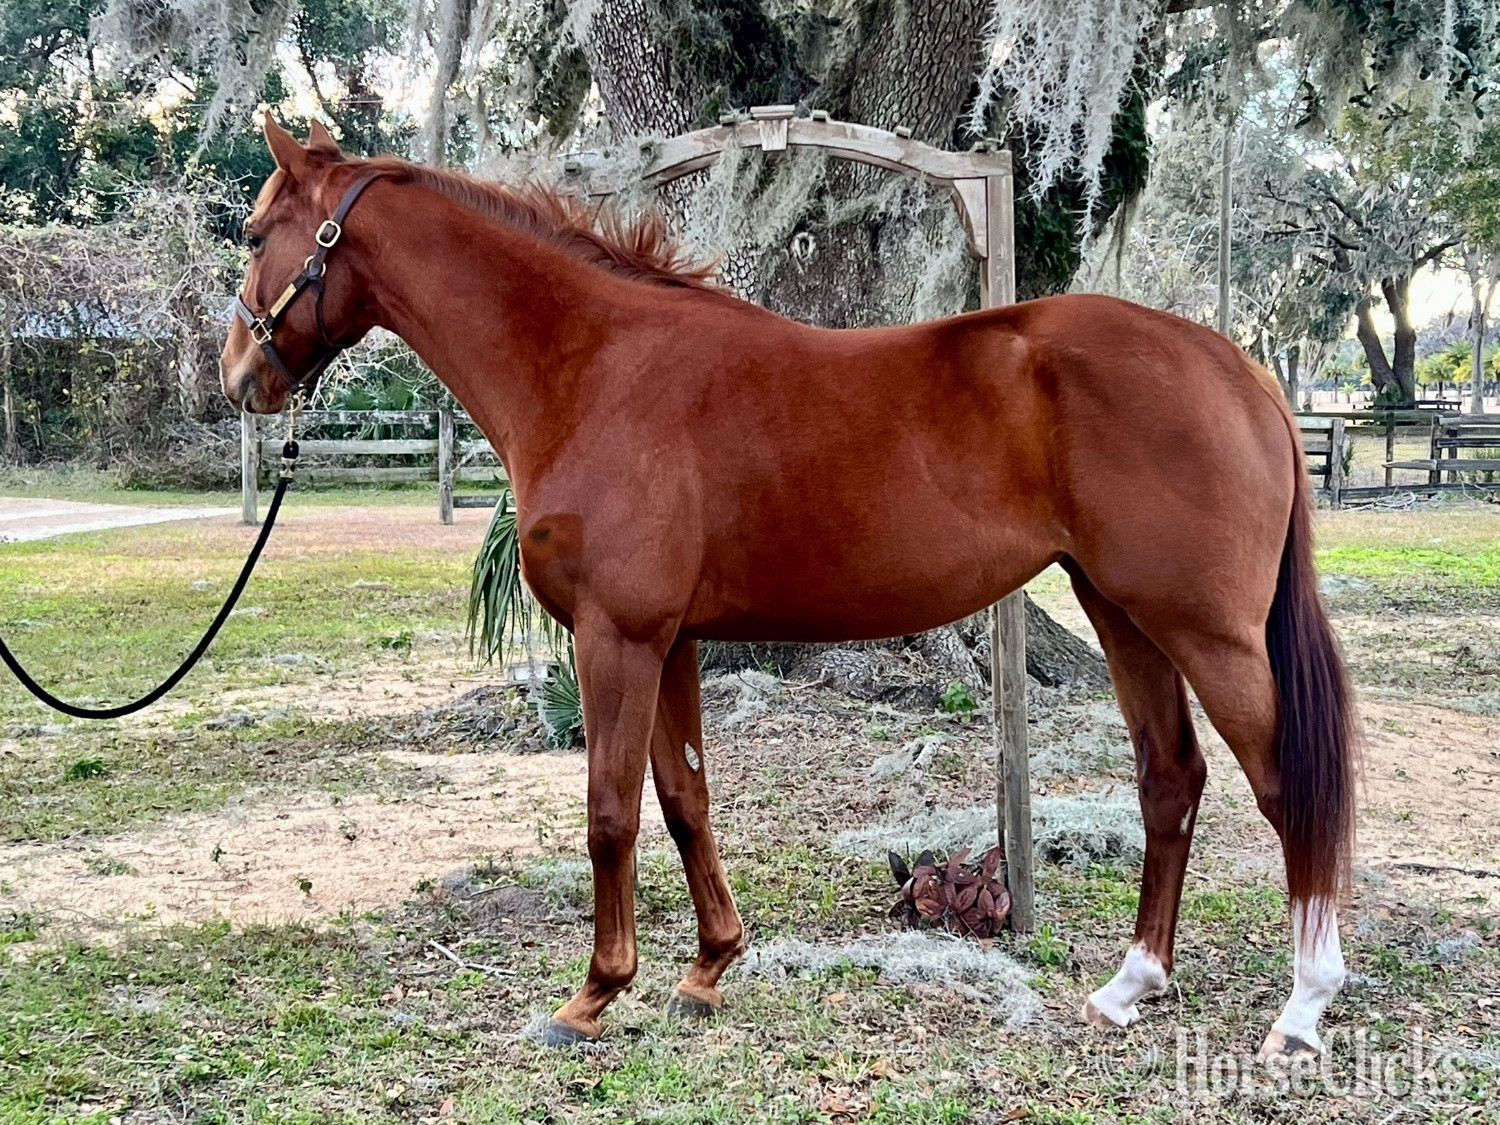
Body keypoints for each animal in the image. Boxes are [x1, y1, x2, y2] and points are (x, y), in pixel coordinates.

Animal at [221, 117, 1357, 1056]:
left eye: (254, 231)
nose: (236, 376)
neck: (595, 367)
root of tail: (1243, 367)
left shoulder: (616, 634)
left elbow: (609, 811)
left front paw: (592, 996)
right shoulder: (672, 640)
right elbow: (685, 799)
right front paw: (705, 969)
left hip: (1208, 631)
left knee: (1283, 782)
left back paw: (1303, 1006)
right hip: (1124, 612)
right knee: (1172, 778)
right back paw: (1132, 984)